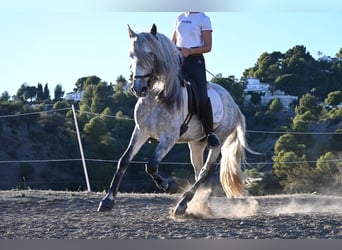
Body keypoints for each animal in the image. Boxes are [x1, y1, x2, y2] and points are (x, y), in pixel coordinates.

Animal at [97, 24, 252, 216]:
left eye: (151, 54)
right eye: (131, 55)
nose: (138, 89)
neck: (157, 95)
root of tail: (234, 105)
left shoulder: (169, 138)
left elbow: (151, 165)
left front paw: (168, 185)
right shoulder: (140, 131)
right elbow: (123, 161)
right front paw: (107, 200)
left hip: (218, 141)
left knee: (205, 171)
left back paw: (183, 203)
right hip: (196, 143)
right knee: (199, 171)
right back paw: (196, 205)